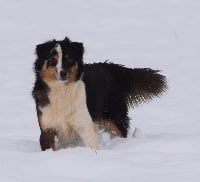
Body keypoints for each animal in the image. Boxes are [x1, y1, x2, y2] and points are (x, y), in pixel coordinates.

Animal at [32, 37, 167, 151]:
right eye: (53, 60)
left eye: (69, 59)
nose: (63, 73)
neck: (62, 90)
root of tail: (110, 67)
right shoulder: (47, 128)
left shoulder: (85, 125)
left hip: (114, 115)